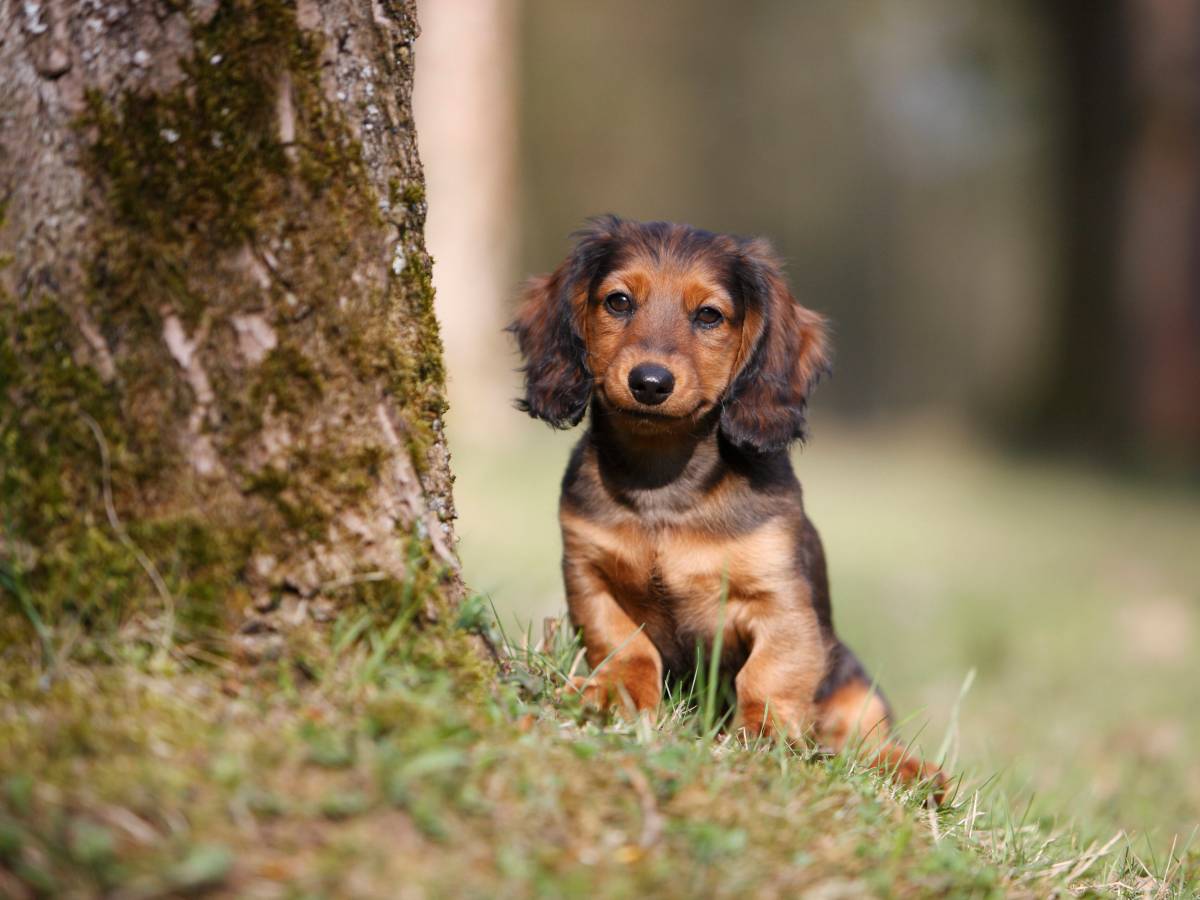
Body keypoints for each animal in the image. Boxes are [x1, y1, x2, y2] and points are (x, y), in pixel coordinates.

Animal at [511, 218, 940, 796]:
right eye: (619, 301)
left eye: (709, 315)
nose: (649, 382)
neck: (664, 483)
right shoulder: (587, 573)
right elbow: (625, 645)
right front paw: (614, 693)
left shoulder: (780, 602)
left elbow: (770, 675)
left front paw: (763, 735)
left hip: (853, 682)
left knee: (864, 742)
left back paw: (916, 772)